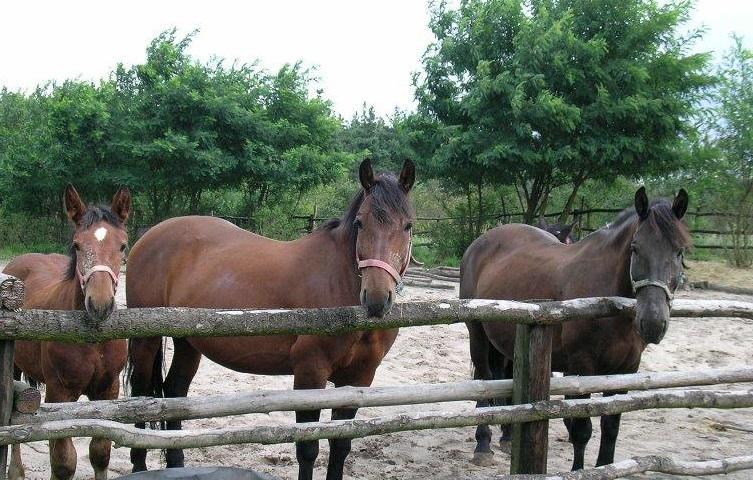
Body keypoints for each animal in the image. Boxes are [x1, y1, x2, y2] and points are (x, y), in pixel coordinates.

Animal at [4, 185, 131, 480]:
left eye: (122, 245)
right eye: (77, 245)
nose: (100, 304)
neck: (93, 342)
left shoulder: (108, 390)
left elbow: (100, 454)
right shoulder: (60, 393)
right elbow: (63, 462)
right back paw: (15, 471)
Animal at [125, 160, 414, 480]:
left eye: (408, 225)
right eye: (360, 223)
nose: (376, 298)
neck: (338, 284)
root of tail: (150, 234)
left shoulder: (359, 378)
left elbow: (340, 446)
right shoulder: (310, 373)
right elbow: (308, 448)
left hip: (188, 341)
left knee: (175, 393)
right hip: (146, 340)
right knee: (141, 395)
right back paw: (139, 465)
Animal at [458, 187, 688, 468]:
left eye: (679, 252)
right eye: (635, 248)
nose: (653, 322)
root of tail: (482, 241)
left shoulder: (626, 369)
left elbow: (611, 426)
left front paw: (604, 466)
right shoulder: (581, 368)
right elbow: (581, 429)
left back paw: (509, 437)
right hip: (478, 335)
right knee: (484, 380)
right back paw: (483, 444)